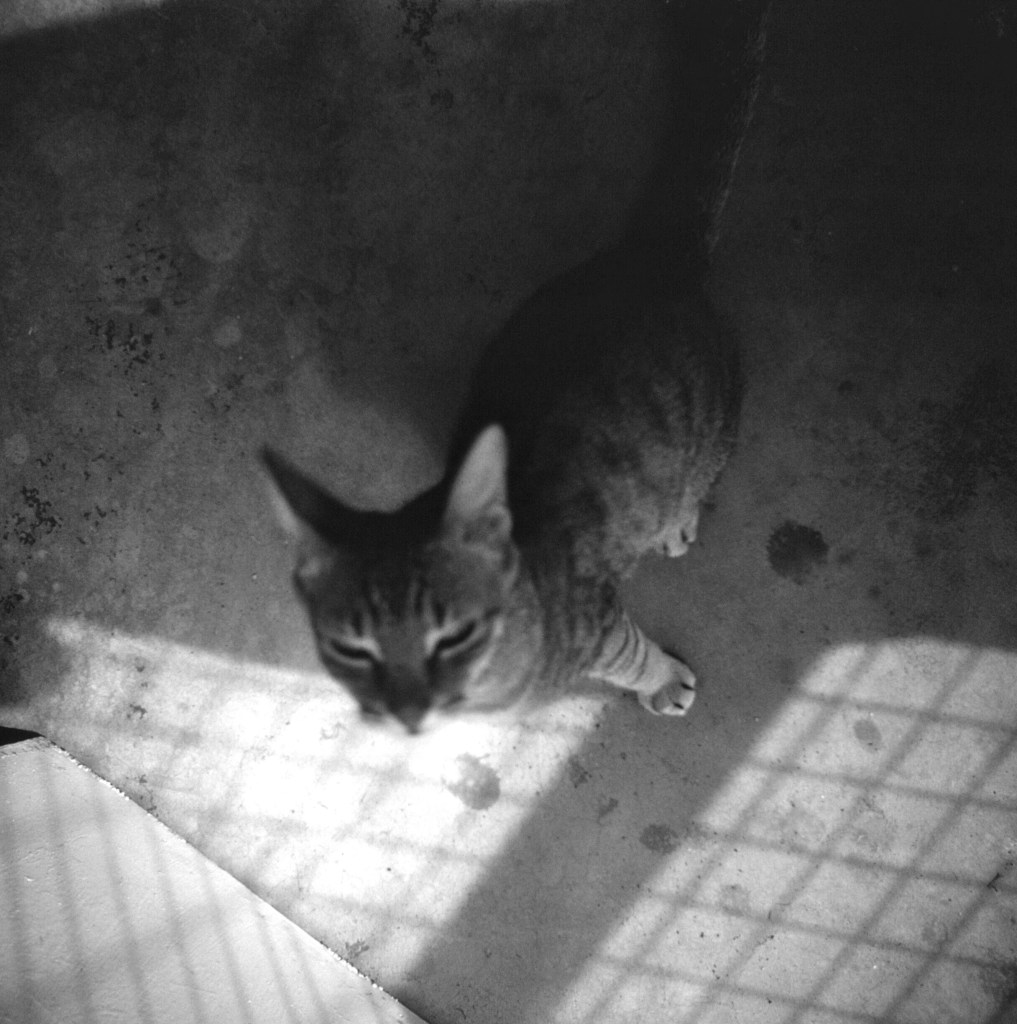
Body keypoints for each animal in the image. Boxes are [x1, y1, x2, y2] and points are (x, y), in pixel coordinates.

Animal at [264, 1, 766, 733]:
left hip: (713, 422)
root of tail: (645, 256)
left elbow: (634, 657)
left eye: (453, 635)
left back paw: (677, 519)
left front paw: (662, 680)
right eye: (352, 650)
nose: (405, 707)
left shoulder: (600, 626)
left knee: (698, 476)